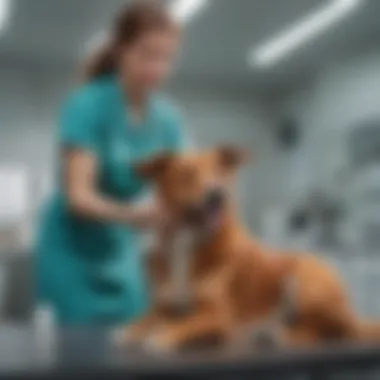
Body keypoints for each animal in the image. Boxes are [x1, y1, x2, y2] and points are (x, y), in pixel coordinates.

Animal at [114, 146, 380, 354]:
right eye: (187, 173)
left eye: (220, 172)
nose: (217, 195)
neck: (188, 239)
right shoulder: (163, 306)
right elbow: (146, 319)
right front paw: (131, 329)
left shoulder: (219, 316)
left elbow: (183, 324)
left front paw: (162, 335)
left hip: (307, 279)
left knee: (324, 333)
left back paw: (278, 337)